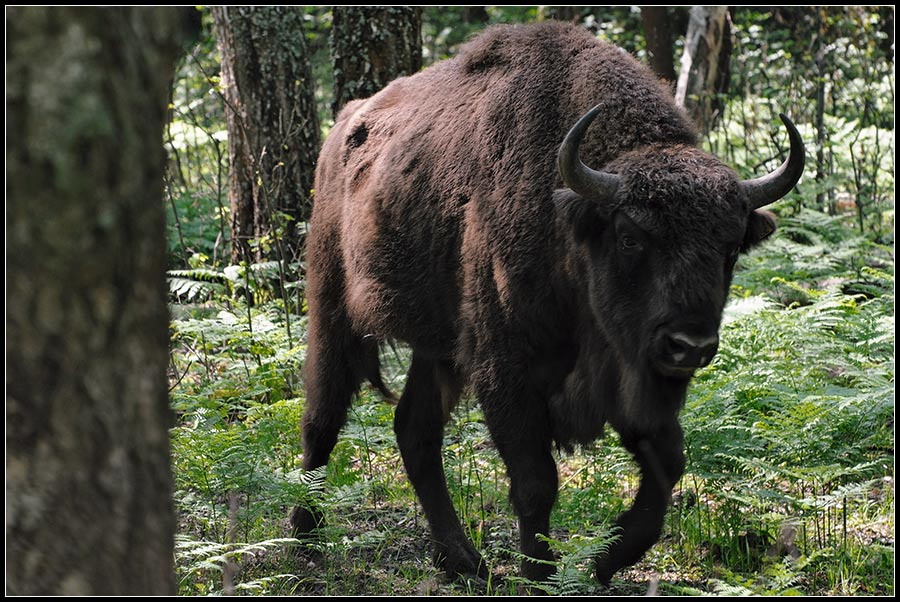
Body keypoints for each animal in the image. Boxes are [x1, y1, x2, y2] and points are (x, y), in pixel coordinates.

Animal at [291, 21, 804, 584]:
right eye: (630, 236)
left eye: (730, 247)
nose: (689, 345)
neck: (572, 229)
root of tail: (342, 128)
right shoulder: (507, 372)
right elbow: (537, 482)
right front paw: (541, 573)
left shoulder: (635, 377)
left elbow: (667, 463)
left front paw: (604, 560)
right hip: (333, 308)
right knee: (323, 416)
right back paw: (304, 538)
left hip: (438, 345)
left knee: (414, 430)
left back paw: (464, 561)